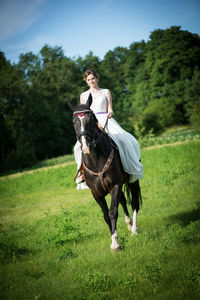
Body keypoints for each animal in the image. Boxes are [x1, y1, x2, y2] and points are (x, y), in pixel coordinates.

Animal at [67, 94, 142, 251]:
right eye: (74, 121)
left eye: (92, 119)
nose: (86, 147)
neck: (96, 160)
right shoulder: (96, 192)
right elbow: (106, 215)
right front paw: (114, 238)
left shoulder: (115, 185)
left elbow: (113, 212)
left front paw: (115, 244)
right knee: (123, 200)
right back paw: (129, 224)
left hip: (133, 180)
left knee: (134, 203)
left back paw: (134, 229)